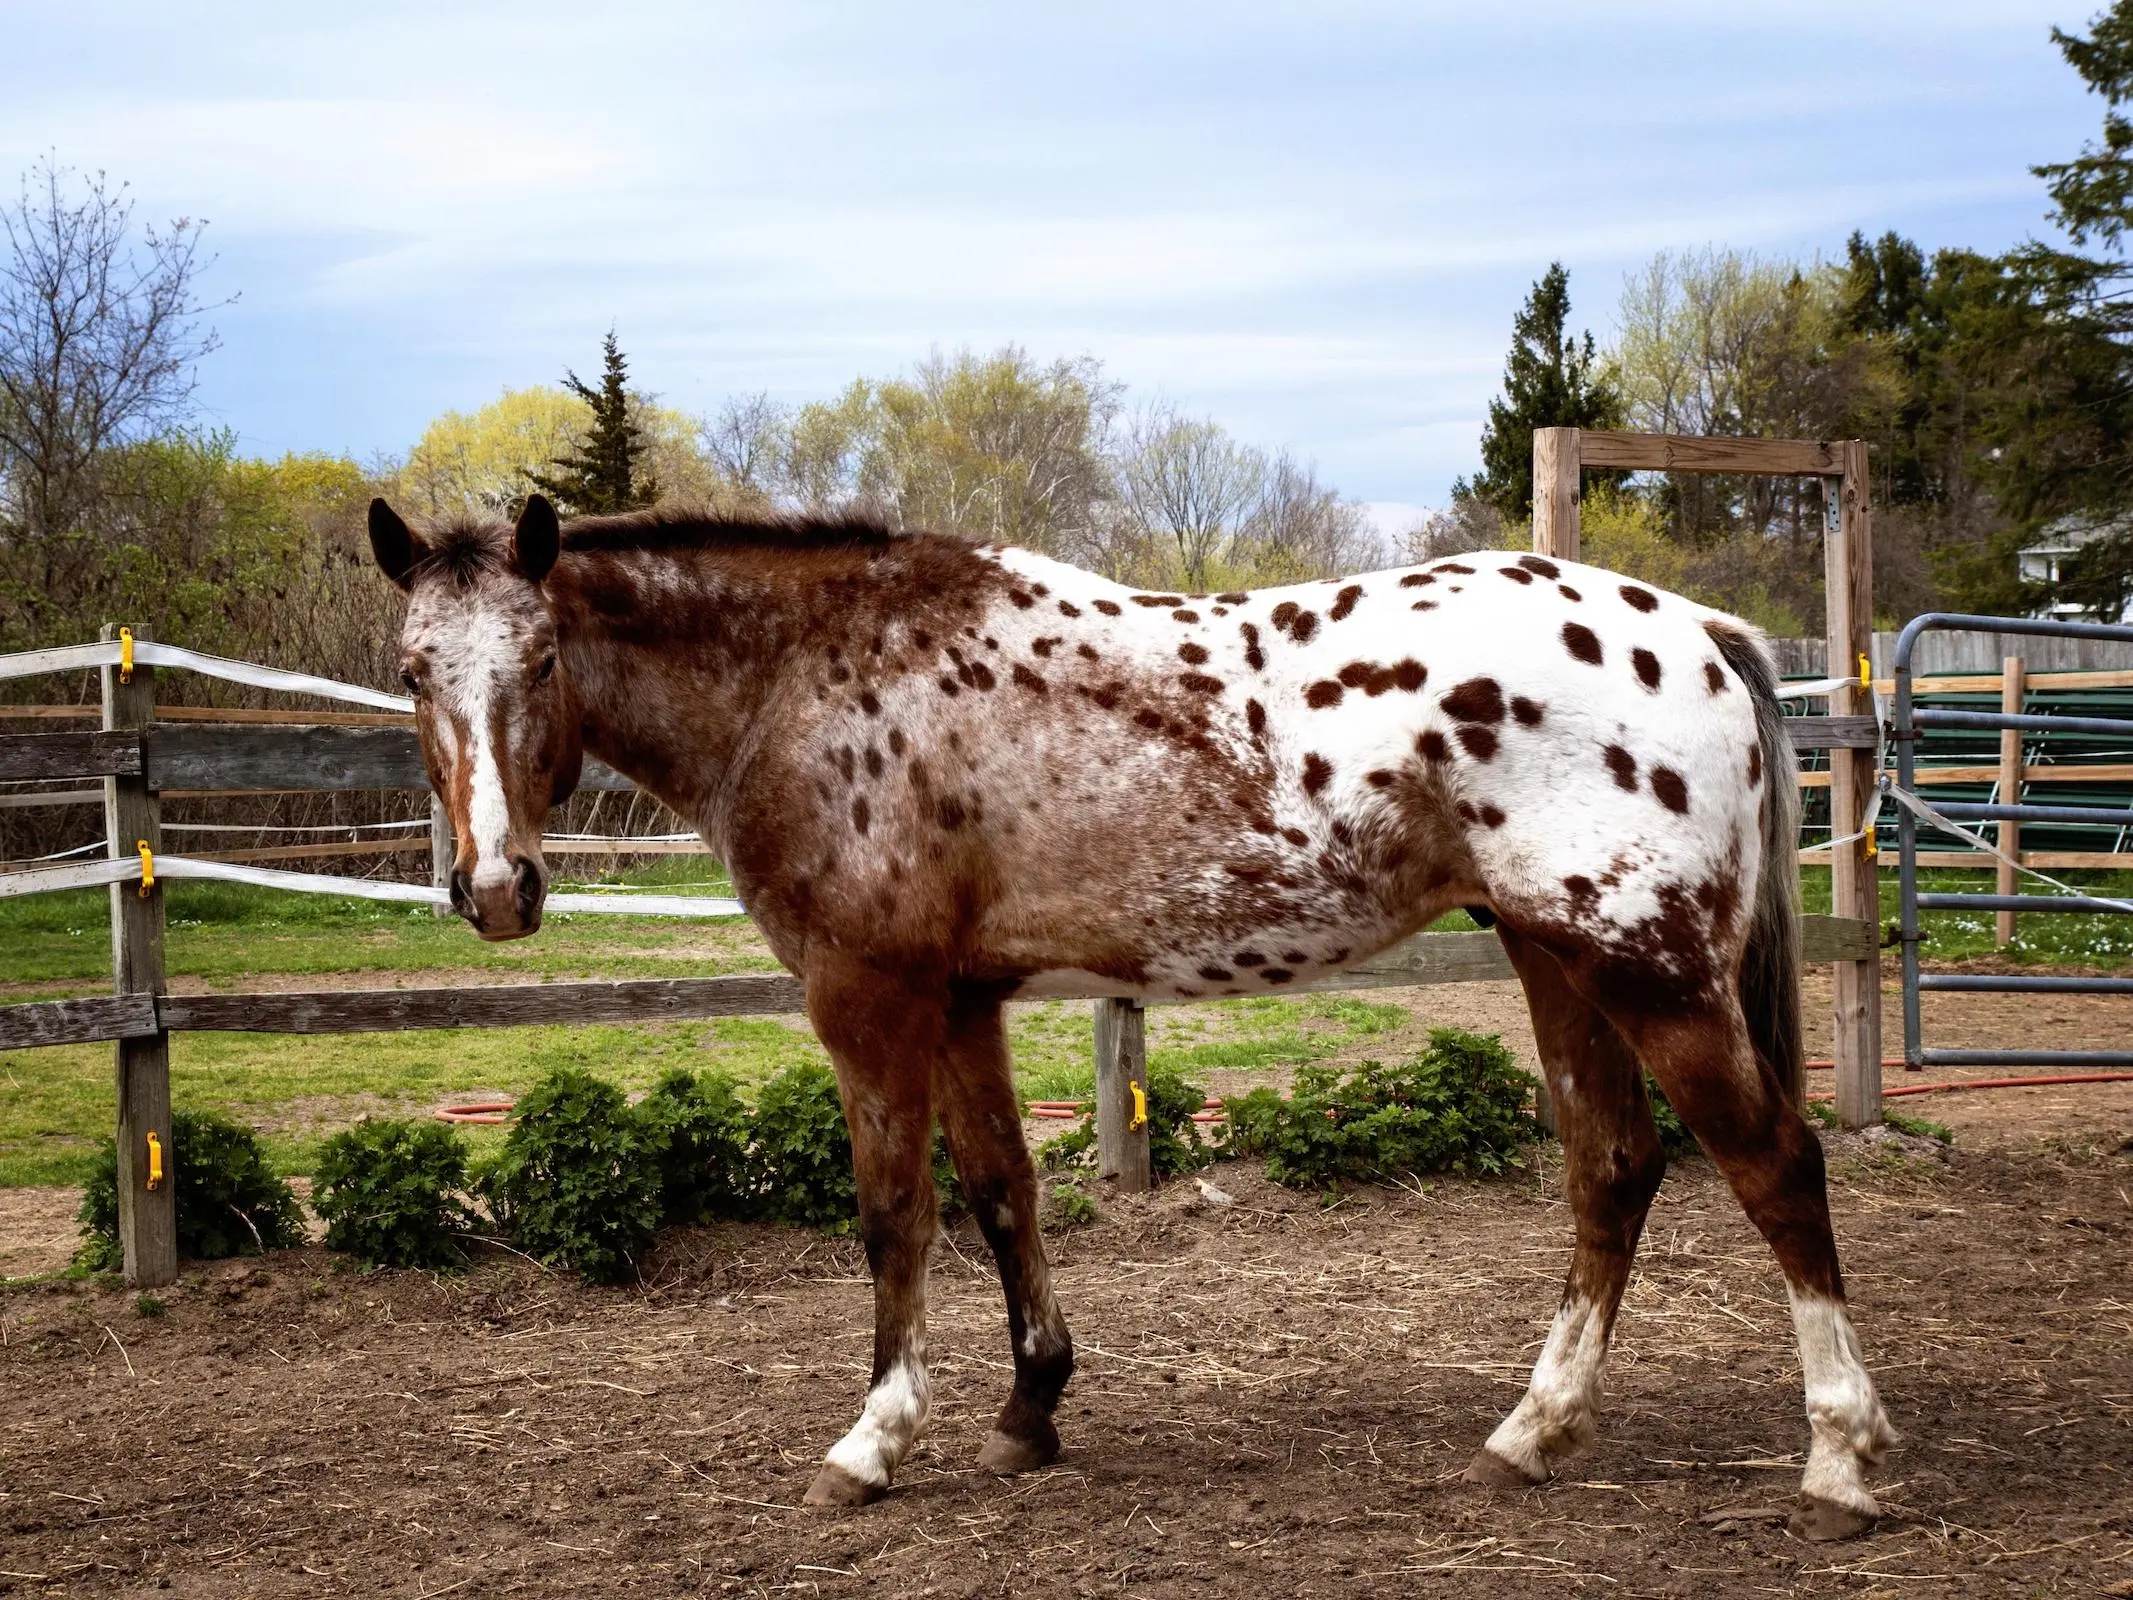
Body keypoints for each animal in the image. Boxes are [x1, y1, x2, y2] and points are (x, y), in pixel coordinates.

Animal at [371, 492, 1902, 1544]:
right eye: (411, 670)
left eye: (541, 659)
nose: (495, 888)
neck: (811, 675)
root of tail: (1694, 630)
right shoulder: (962, 1004)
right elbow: (1002, 1194)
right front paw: (1030, 1408)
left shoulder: (867, 998)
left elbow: (892, 1215)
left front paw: (874, 1441)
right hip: (1555, 958)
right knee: (1614, 1170)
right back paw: (1533, 1430)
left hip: (1646, 968)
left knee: (1774, 1166)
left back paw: (1838, 1458)